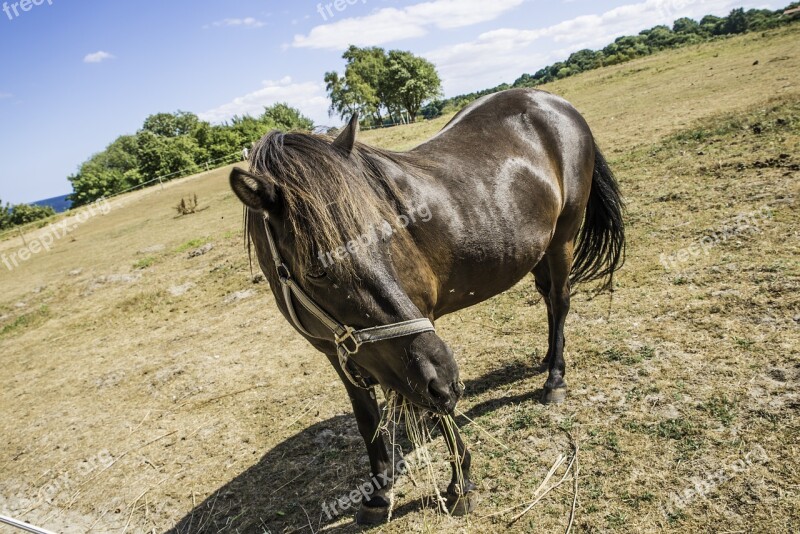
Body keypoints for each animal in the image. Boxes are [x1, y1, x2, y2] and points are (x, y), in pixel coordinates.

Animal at [227, 89, 624, 528]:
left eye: (387, 237)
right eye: (316, 270)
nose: (450, 378)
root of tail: (554, 101)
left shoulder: (421, 341)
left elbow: (438, 406)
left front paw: (461, 484)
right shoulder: (338, 352)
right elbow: (368, 419)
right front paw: (378, 494)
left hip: (563, 239)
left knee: (561, 299)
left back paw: (555, 379)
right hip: (538, 247)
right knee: (549, 299)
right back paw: (548, 357)